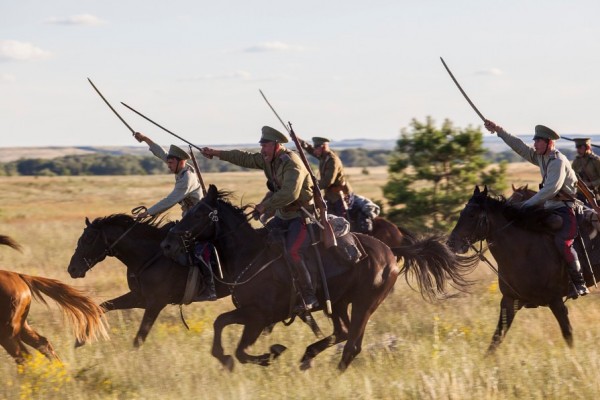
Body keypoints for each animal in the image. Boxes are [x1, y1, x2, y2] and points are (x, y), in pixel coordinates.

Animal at [161, 186, 478, 370]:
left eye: (198, 213)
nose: (168, 244)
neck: (250, 255)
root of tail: (391, 251)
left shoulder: (258, 317)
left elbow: (240, 348)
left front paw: (270, 354)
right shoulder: (250, 314)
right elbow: (220, 325)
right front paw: (230, 357)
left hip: (364, 304)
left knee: (352, 344)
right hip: (338, 303)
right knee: (343, 333)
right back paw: (307, 356)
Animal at [448, 186, 596, 354]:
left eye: (472, 214)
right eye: (462, 212)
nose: (451, 243)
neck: (524, 250)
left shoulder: (556, 301)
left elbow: (567, 334)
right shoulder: (509, 301)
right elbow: (496, 338)